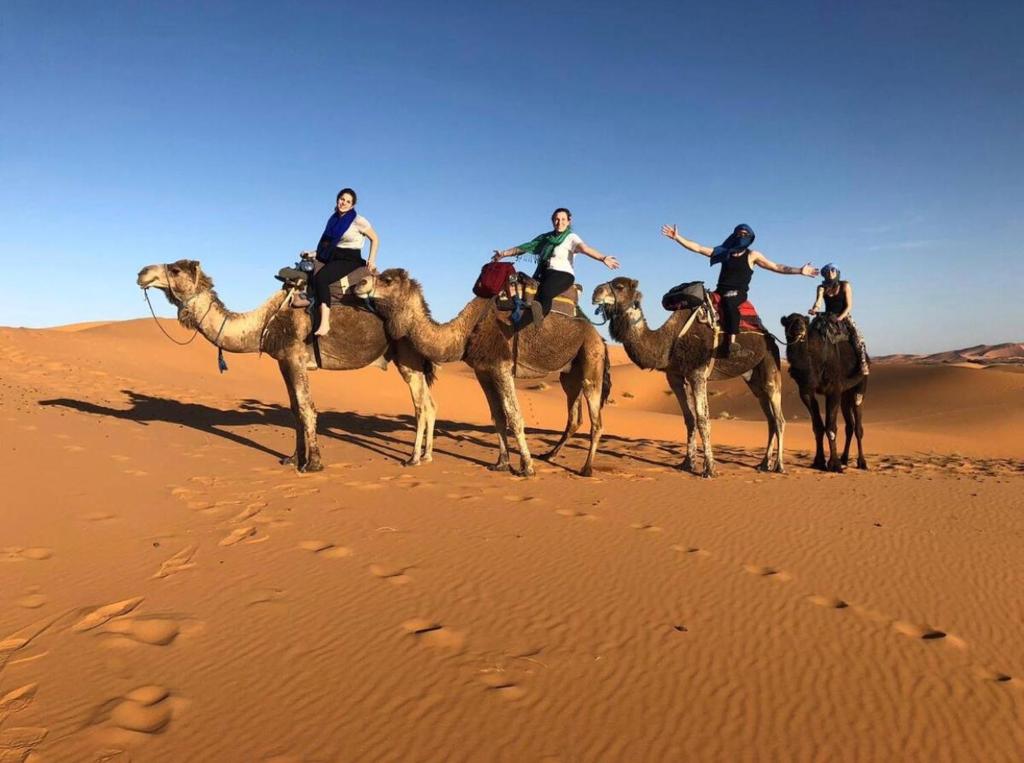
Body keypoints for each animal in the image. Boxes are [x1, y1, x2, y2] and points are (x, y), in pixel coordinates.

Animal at [135, 259, 436, 467]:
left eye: (175, 270)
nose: (142, 272)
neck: (264, 323)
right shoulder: (282, 361)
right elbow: (294, 409)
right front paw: (293, 459)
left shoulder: (295, 357)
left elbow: (306, 408)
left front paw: (313, 463)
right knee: (430, 404)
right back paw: (426, 456)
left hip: (407, 354)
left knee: (420, 405)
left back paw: (413, 459)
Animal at [356, 268, 606, 475]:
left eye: (387, 279)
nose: (360, 283)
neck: (467, 331)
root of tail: (599, 337)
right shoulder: (483, 372)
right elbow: (498, 416)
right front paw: (501, 463)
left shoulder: (502, 367)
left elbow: (514, 416)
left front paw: (527, 467)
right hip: (569, 375)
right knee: (574, 417)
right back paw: (549, 455)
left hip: (591, 362)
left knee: (596, 419)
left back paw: (586, 468)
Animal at [593, 274, 782, 475]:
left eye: (619, 286)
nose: (595, 292)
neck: (669, 342)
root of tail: (770, 337)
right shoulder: (674, 376)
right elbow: (689, 418)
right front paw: (687, 463)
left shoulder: (697, 374)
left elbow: (702, 419)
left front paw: (709, 468)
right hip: (753, 378)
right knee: (770, 418)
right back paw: (764, 464)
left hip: (770, 364)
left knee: (778, 418)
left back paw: (779, 465)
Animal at [778, 313, 868, 471]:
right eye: (790, 321)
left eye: (804, 321)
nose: (799, 328)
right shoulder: (806, 391)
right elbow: (818, 427)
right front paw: (819, 461)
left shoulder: (834, 390)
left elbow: (831, 427)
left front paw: (834, 464)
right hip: (845, 395)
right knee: (849, 426)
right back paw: (844, 459)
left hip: (859, 386)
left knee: (858, 426)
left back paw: (861, 462)